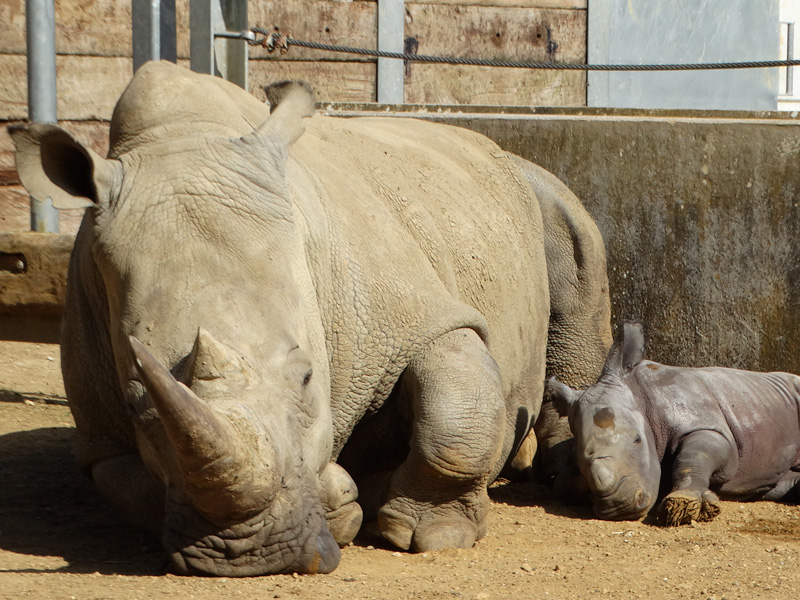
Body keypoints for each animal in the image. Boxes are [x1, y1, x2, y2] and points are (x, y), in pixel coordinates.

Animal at [10, 62, 608, 576]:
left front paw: (428, 534)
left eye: (307, 379)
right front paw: (339, 498)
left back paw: (565, 475)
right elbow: (138, 485)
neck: (184, 140)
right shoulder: (101, 435)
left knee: (572, 244)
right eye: (138, 405)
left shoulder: (412, 312)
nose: (255, 554)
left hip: (523, 188)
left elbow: (457, 411)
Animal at [548, 321, 800, 525]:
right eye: (582, 457)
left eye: (638, 440)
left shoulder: (707, 425)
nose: (621, 505)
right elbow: (562, 483)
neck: (639, 393)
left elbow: (694, 455)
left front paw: (683, 505)